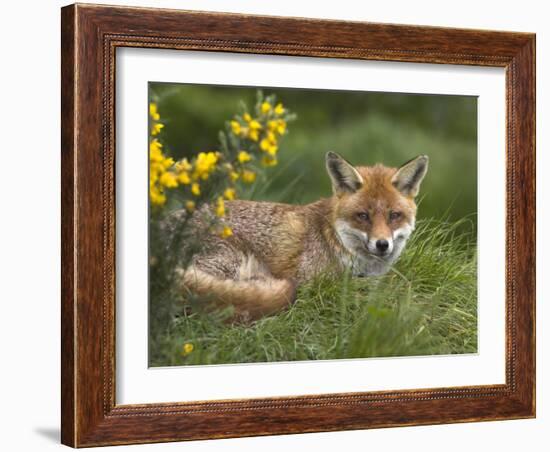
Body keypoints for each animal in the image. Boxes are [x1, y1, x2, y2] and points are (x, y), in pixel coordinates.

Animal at [179, 152, 430, 322]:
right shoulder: (311, 280)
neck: (333, 239)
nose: (382, 244)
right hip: (231, 260)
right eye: (363, 216)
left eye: (394, 215)